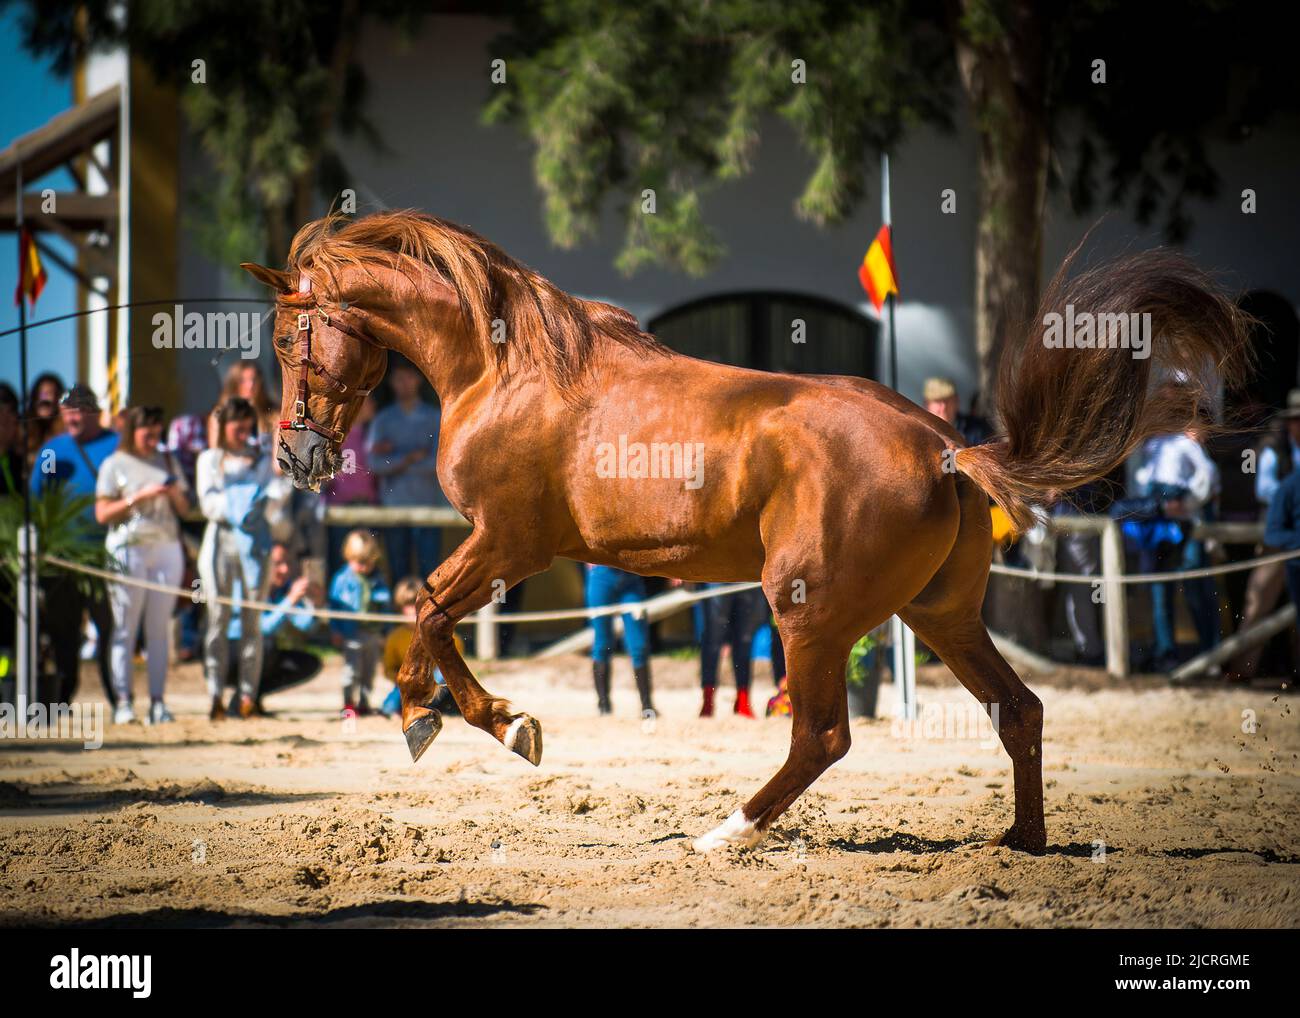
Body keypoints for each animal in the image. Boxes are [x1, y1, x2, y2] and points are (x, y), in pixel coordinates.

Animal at [242, 210, 1249, 854]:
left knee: (824, 736)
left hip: (808, 610)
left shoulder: (509, 543)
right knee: (1019, 710)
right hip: (939, 615)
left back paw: (724, 833)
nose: (295, 453)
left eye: (289, 341)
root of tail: (943, 449)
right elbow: (431, 617)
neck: (505, 368)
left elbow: (427, 609)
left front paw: (482, 722)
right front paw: (454, 716)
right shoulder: (504, 548)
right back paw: (1022, 843)